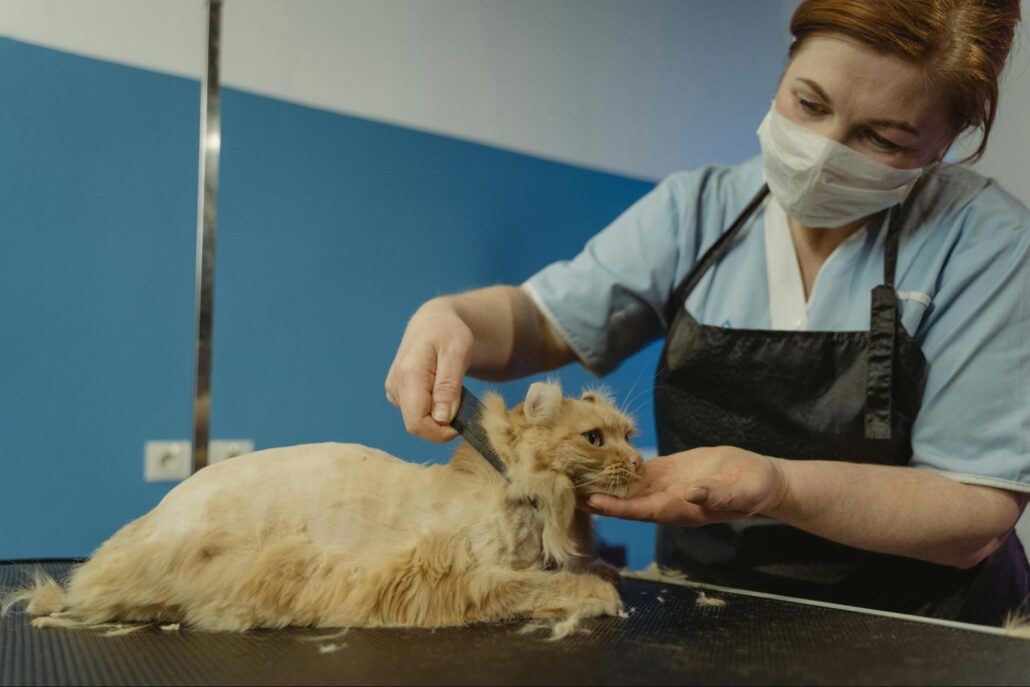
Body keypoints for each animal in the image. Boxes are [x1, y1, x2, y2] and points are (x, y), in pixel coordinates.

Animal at [6, 381, 642, 634]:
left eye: (630, 435)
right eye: (595, 439)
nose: (641, 465)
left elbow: (565, 568)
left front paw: (603, 570)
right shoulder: (459, 576)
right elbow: (539, 585)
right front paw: (598, 592)